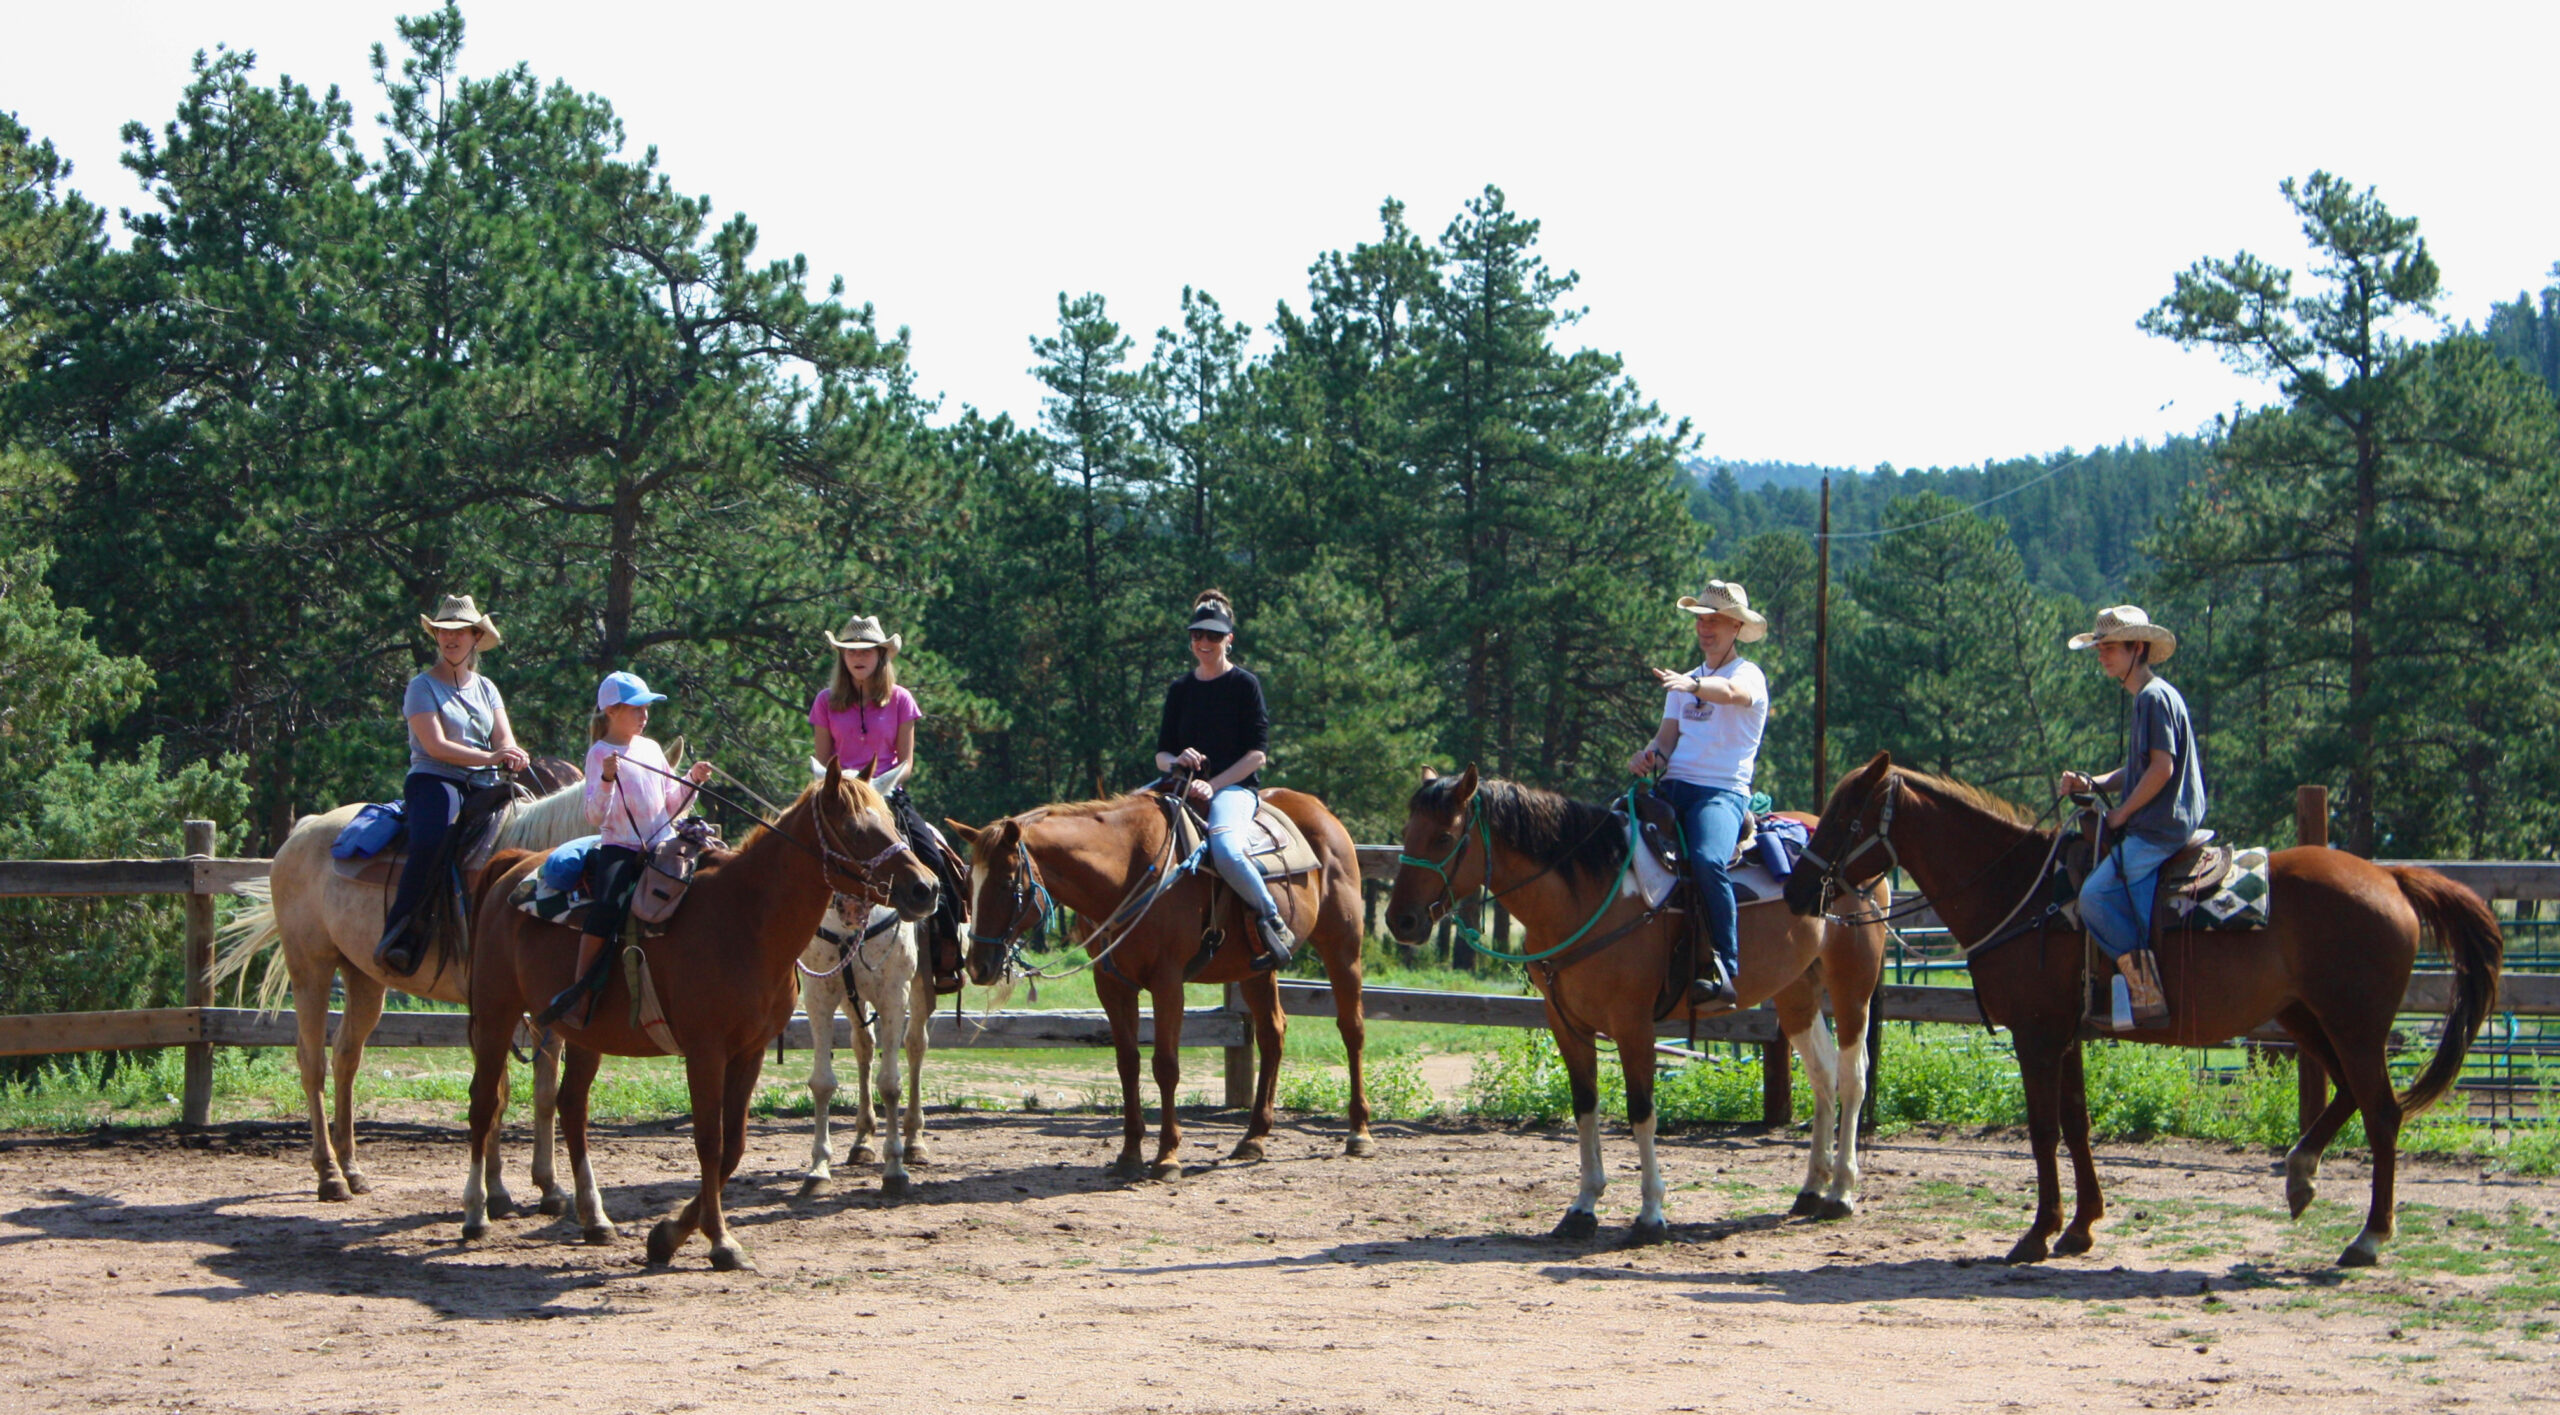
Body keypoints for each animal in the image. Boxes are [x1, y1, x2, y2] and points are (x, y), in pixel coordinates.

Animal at [211, 762, 588, 1202]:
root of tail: (304, 828)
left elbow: (543, 1093)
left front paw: (548, 1186)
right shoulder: (489, 1007)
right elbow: (496, 1093)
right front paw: (495, 1190)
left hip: (363, 977)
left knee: (345, 1057)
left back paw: (351, 1169)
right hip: (310, 967)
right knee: (312, 1062)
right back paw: (329, 1175)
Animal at [793, 895, 936, 1192]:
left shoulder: (895, 992)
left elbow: (890, 1085)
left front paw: (895, 1168)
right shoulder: (819, 992)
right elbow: (822, 1083)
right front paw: (818, 1168)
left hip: (918, 988)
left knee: (916, 1045)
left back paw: (914, 1141)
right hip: (853, 998)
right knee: (864, 1046)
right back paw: (862, 1142)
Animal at [1392, 767, 1894, 1243]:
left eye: (1444, 837)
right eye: (1407, 831)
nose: (1401, 921)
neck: (1591, 894)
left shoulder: (1634, 1026)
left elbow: (1641, 1113)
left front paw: (1651, 1215)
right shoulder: (1566, 1024)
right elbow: (1585, 1106)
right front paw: (1582, 1208)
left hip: (1851, 983)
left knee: (1853, 1077)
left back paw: (1841, 1192)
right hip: (1796, 992)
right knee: (1823, 1076)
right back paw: (1812, 1189)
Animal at [1781, 752, 2498, 1269]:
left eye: (1845, 819)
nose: (1795, 889)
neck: (2022, 892)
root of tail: (2392, 877)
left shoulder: (2036, 1036)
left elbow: (2043, 1130)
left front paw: (2037, 1233)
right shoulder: (2065, 1035)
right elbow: (2076, 1125)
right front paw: (2080, 1226)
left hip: (2353, 1024)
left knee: (2381, 1111)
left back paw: (2368, 1236)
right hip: (2307, 1018)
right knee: (2352, 1094)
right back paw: (2300, 1177)